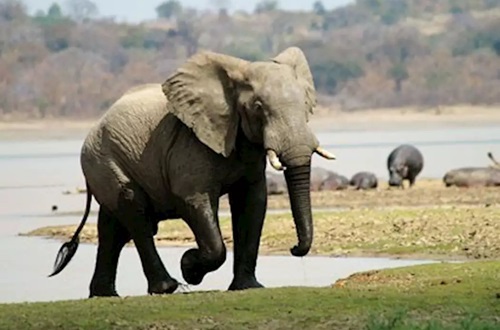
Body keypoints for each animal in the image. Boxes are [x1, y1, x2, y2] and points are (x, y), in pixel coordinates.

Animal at [47, 45, 336, 298]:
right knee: (135, 214)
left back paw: (104, 295)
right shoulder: (190, 144)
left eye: (306, 105)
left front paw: (248, 287)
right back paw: (166, 287)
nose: (294, 248)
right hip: (104, 160)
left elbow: (252, 202)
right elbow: (195, 201)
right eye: (258, 108)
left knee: (113, 226)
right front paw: (189, 267)